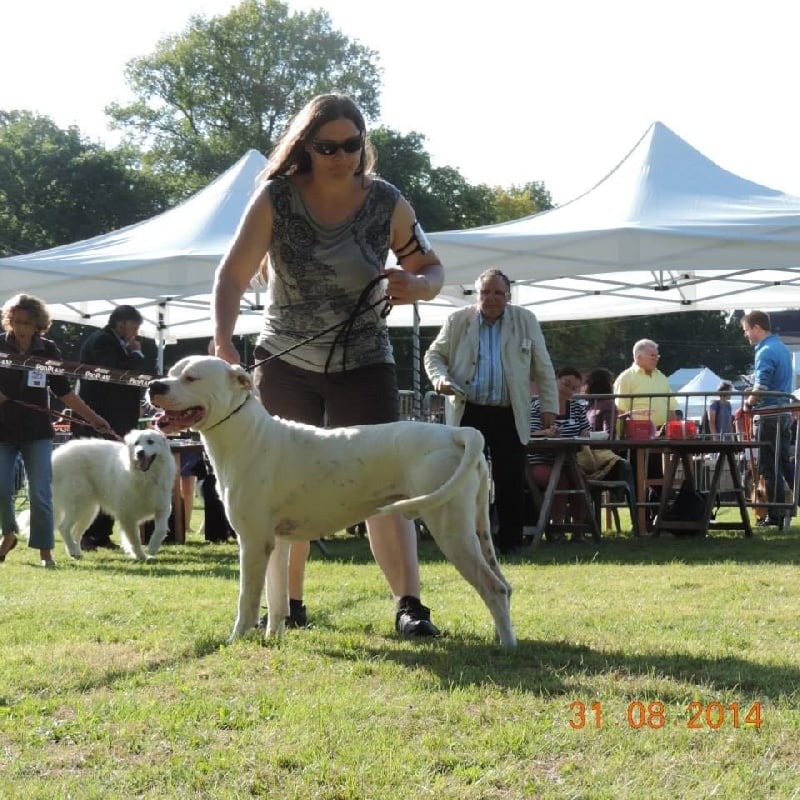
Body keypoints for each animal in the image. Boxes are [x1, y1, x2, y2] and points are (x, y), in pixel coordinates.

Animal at [52, 428, 177, 560]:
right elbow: (134, 540)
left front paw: (152, 547)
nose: (140, 453)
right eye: (136, 443)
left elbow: (160, 529)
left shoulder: (163, 508)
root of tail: (56, 455)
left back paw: (76, 553)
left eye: (150, 441)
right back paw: (73, 550)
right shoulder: (127, 516)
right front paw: (141, 556)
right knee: (64, 528)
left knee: (75, 532)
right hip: (78, 504)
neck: (146, 478)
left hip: (89, 510)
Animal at [147, 354, 516, 644]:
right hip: (477, 526)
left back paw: (506, 649)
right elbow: (276, 598)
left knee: (493, 588)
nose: (154, 385)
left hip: (450, 528)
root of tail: (458, 433)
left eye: (191, 377)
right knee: (503, 584)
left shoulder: (252, 542)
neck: (247, 434)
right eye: (172, 371)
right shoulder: (275, 543)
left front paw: (235, 641)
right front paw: (273, 637)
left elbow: (246, 600)